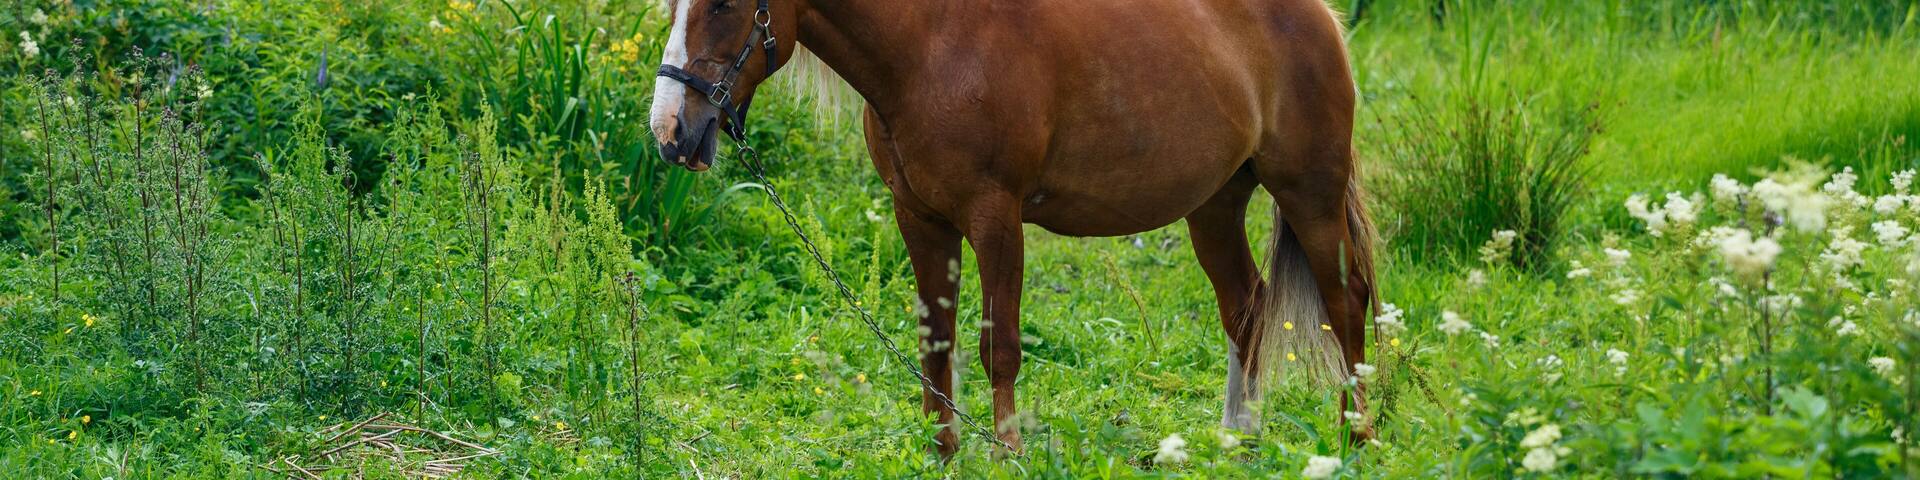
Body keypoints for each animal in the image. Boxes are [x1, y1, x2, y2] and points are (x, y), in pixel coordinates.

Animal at [649, 0, 1377, 458]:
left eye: (723, 4)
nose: (670, 131)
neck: (932, 48)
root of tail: (1322, 19)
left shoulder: (995, 218)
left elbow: (998, 347)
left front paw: (1006, 451)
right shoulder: (921, 220)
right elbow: (935, 344)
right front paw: (939, 453)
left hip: (1309, 196)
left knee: (1346, 305)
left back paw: (1356, 439)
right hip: (1216, 205)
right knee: (1246, 307)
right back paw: (1237, 440)